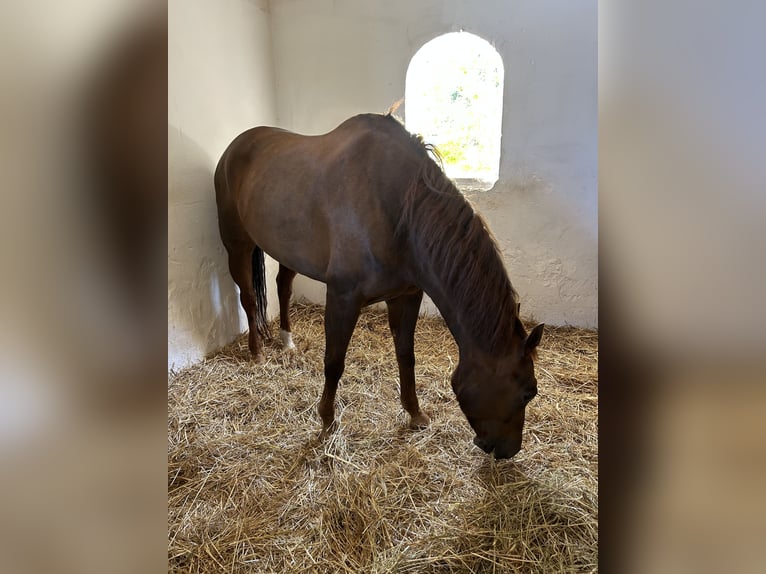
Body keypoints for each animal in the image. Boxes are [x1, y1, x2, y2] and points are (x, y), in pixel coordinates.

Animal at [214, 113, 543, 459]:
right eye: (528, 392)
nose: (509, 450)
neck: (397, 212)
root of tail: (235, 146)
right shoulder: (343, 298)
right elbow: (334, 363)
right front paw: (327, 422)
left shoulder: (406, 296)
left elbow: (406, 356)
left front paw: (415, 414)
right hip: (237, 244)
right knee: (249, 298)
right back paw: (256, 352)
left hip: (287, 250)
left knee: (283, 287)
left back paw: (286, 340)